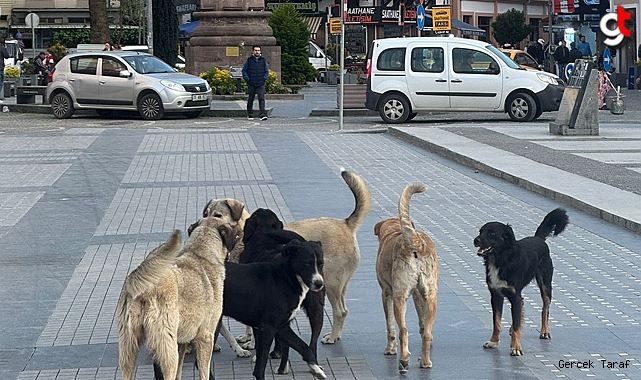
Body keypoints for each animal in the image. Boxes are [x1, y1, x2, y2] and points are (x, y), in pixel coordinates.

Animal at [116, 217, 236, 380]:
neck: (200, 251)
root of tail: (143, 286)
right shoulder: (206, 337)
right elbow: (204, 372)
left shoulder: (182, 342)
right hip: (167, 349)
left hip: (128, 348)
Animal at [284, 169, 370, 344]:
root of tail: (345, 224)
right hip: (341, 285)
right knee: (344, 310)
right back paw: (336, 335)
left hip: (330, 283)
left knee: (340, 312)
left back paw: (332, 337)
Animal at [372, 184, 438, 374]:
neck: (394, 231)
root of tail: (416, 243)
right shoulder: (417, 294)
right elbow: (422, 324)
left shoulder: (386, 293)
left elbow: (390, 326)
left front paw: (390, 349)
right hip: (431, 296)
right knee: (427, 332)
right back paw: (425, 361)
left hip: (399, 297)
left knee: (403, 330)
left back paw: (403, 361)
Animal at [472, 208, 568, 356]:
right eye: (480, 231)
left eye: (492, 234)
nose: (475, 240)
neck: (501, 259)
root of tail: (538, 238)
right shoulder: (496, 295)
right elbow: (497, 322)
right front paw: (494, 341)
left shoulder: (515, 296)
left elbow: (517, 323)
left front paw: (516, 347)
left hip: (546, 286)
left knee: (545, 309)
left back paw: (544, 331)